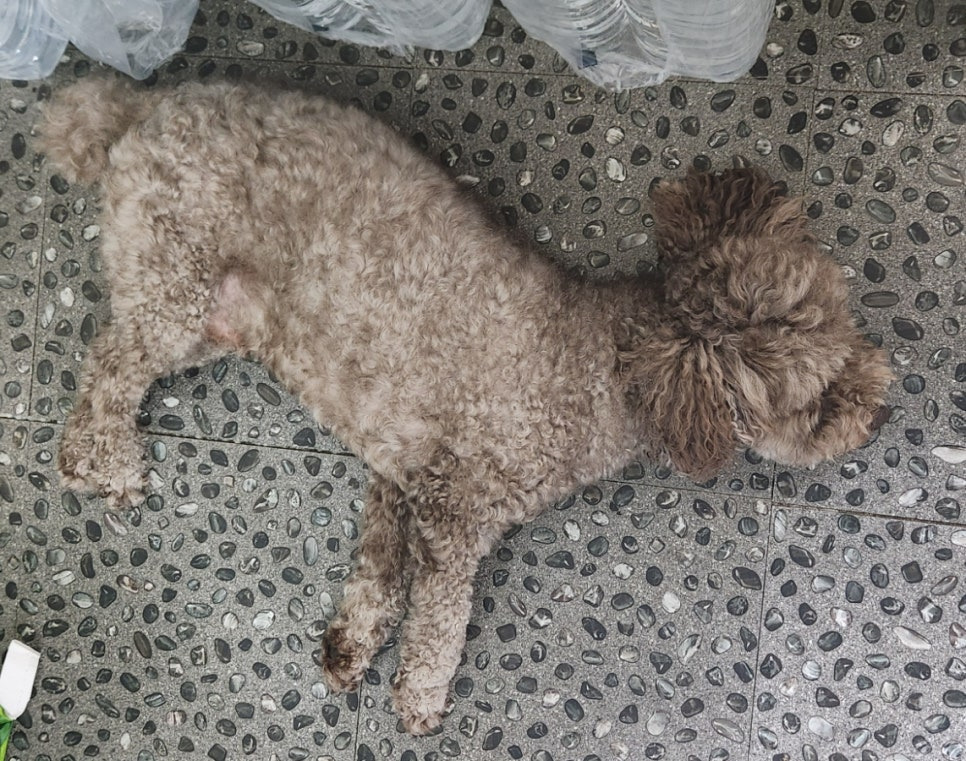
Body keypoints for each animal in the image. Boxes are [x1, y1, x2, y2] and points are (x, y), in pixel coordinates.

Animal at [39, 77, 892, 734]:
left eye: (844, 316)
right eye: (814, 402)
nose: (877, 407)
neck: (610, 364)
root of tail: (142, 105)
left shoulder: (400, 473)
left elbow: (378, 572)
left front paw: (351, 646)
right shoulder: (457, 510)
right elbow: (439, 616)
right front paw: (419, 695)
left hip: (209, 313)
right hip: (173, 280)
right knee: (104, 379)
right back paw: (106, 466)